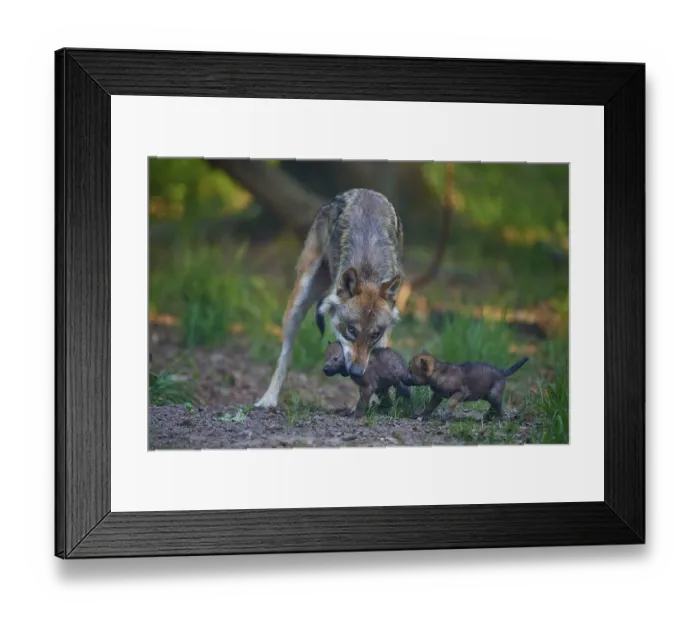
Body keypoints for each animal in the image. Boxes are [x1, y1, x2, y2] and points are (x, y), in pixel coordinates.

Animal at [255, 188, 404, 409]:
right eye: (351, 330)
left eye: (374, 334)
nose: (356, 371)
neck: (368, 271)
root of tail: (363, 190)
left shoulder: (384, 336)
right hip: (298, 303)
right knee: (285, 357)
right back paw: (268, 399)